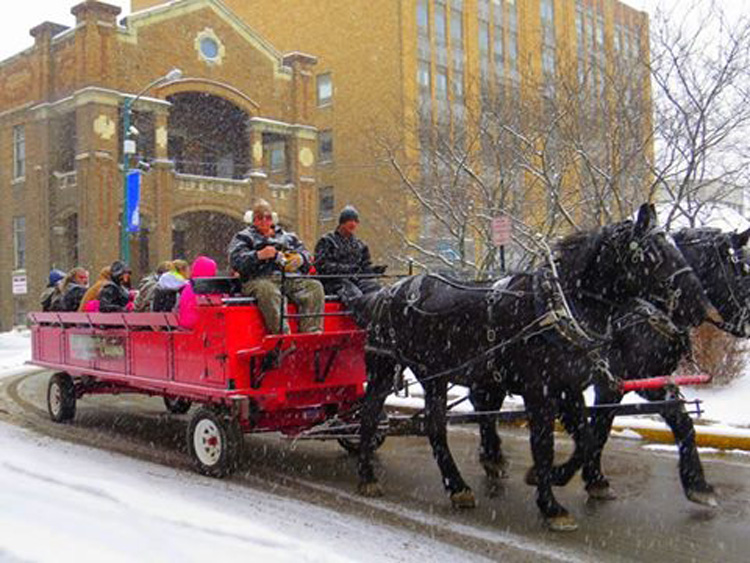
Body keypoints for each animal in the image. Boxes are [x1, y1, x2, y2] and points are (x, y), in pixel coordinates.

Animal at [350, 205, 712, 532]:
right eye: (653, 254)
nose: (701, 305)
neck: (558, 307)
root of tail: (388, 291)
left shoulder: (570, 388)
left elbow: (587, 440)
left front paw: (553, 477)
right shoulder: (540, 391)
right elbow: (545, 445)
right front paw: (552, 506)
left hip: (439, 376)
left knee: (429, 423)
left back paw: (458, 483)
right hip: (396, 369)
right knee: (379, 417)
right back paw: (378, 477)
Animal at [528, 227, 750, 504]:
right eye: (742, 270)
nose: (747, 322)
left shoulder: (652, 380)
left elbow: (682, 422)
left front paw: (697, 483)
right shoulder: (612, 383)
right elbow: (597, 431)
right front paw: (579, 477)